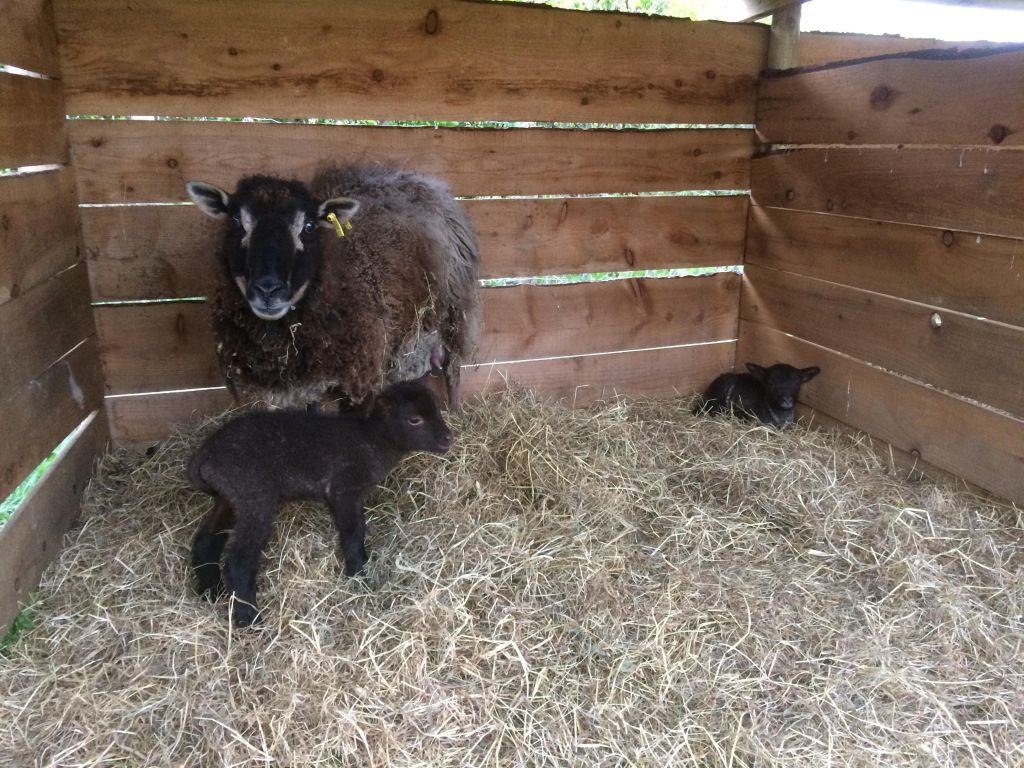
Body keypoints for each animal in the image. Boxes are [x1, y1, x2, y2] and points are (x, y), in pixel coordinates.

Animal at [184, 164, 482, 410]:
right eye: (236, 222)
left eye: (308, 226)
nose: (268, 290)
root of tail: (420, 180)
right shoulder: (293, 387)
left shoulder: (362, 374)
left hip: (455, 315)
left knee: (453, 370)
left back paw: (454, 413)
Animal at [188, 379, 454, 627]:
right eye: (414, 419)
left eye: (437, 410)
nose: (448, 439)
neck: (373, 439)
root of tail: (204, 456)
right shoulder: (343, 490)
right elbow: (353, 533)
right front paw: (357, 576)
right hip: (254, 494)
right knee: (238, 561)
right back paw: (249, 620)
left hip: (229, 496)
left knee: (206, 539)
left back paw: (211, 591)